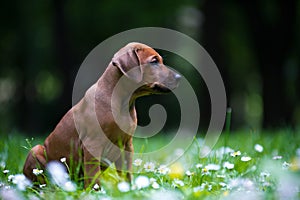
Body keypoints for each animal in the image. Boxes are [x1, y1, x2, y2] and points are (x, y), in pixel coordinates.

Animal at [22, 42, 180, 188]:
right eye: (154, 61)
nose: (179, 77)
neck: (123, 102)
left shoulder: (127, 145)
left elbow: (126, 173)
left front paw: (128, 190)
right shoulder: (92, 145)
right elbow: (93, 175)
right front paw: (95, 192)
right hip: (36, 151)